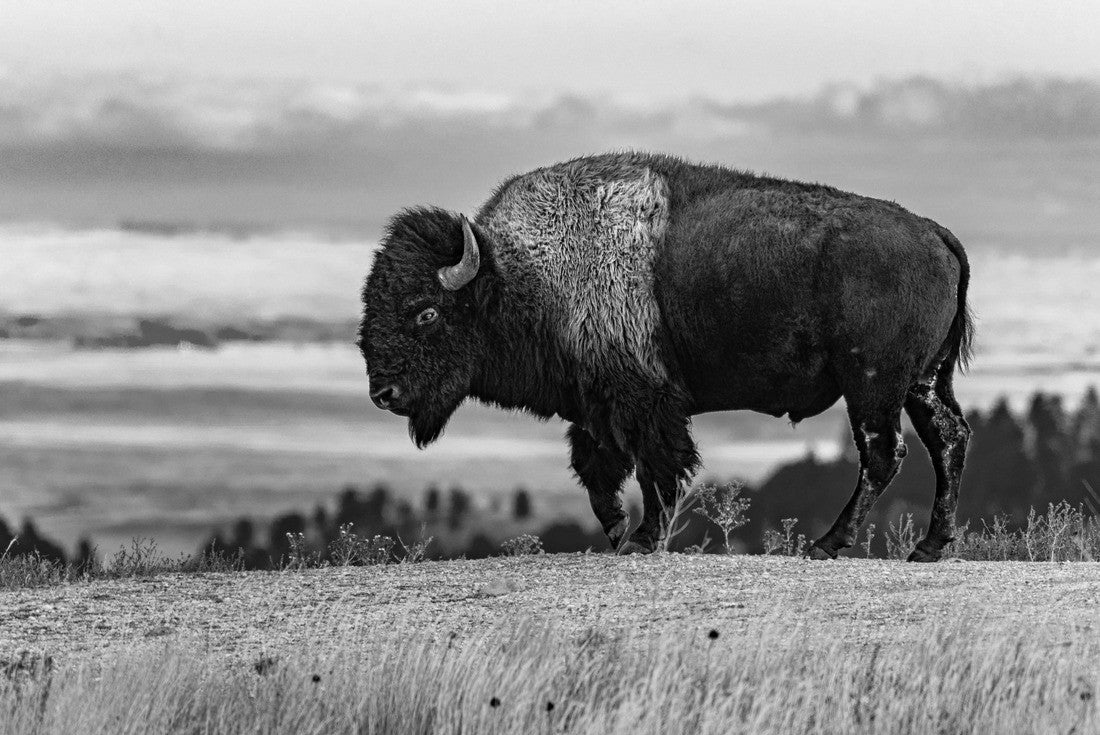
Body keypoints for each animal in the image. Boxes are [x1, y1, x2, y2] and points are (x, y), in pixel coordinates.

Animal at [358, 153, 973, 561]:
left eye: (426, 313)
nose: (382, 393)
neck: (523, 274)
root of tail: (935, 233)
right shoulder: (595, 406)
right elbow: (599, 471)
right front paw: (617, 534)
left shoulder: (643, 402)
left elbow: (654, 469)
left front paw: (642, 539)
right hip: (922, 383)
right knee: (948, 438)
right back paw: (928, 547)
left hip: (872, 384)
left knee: (882, 453)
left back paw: (827, 545)